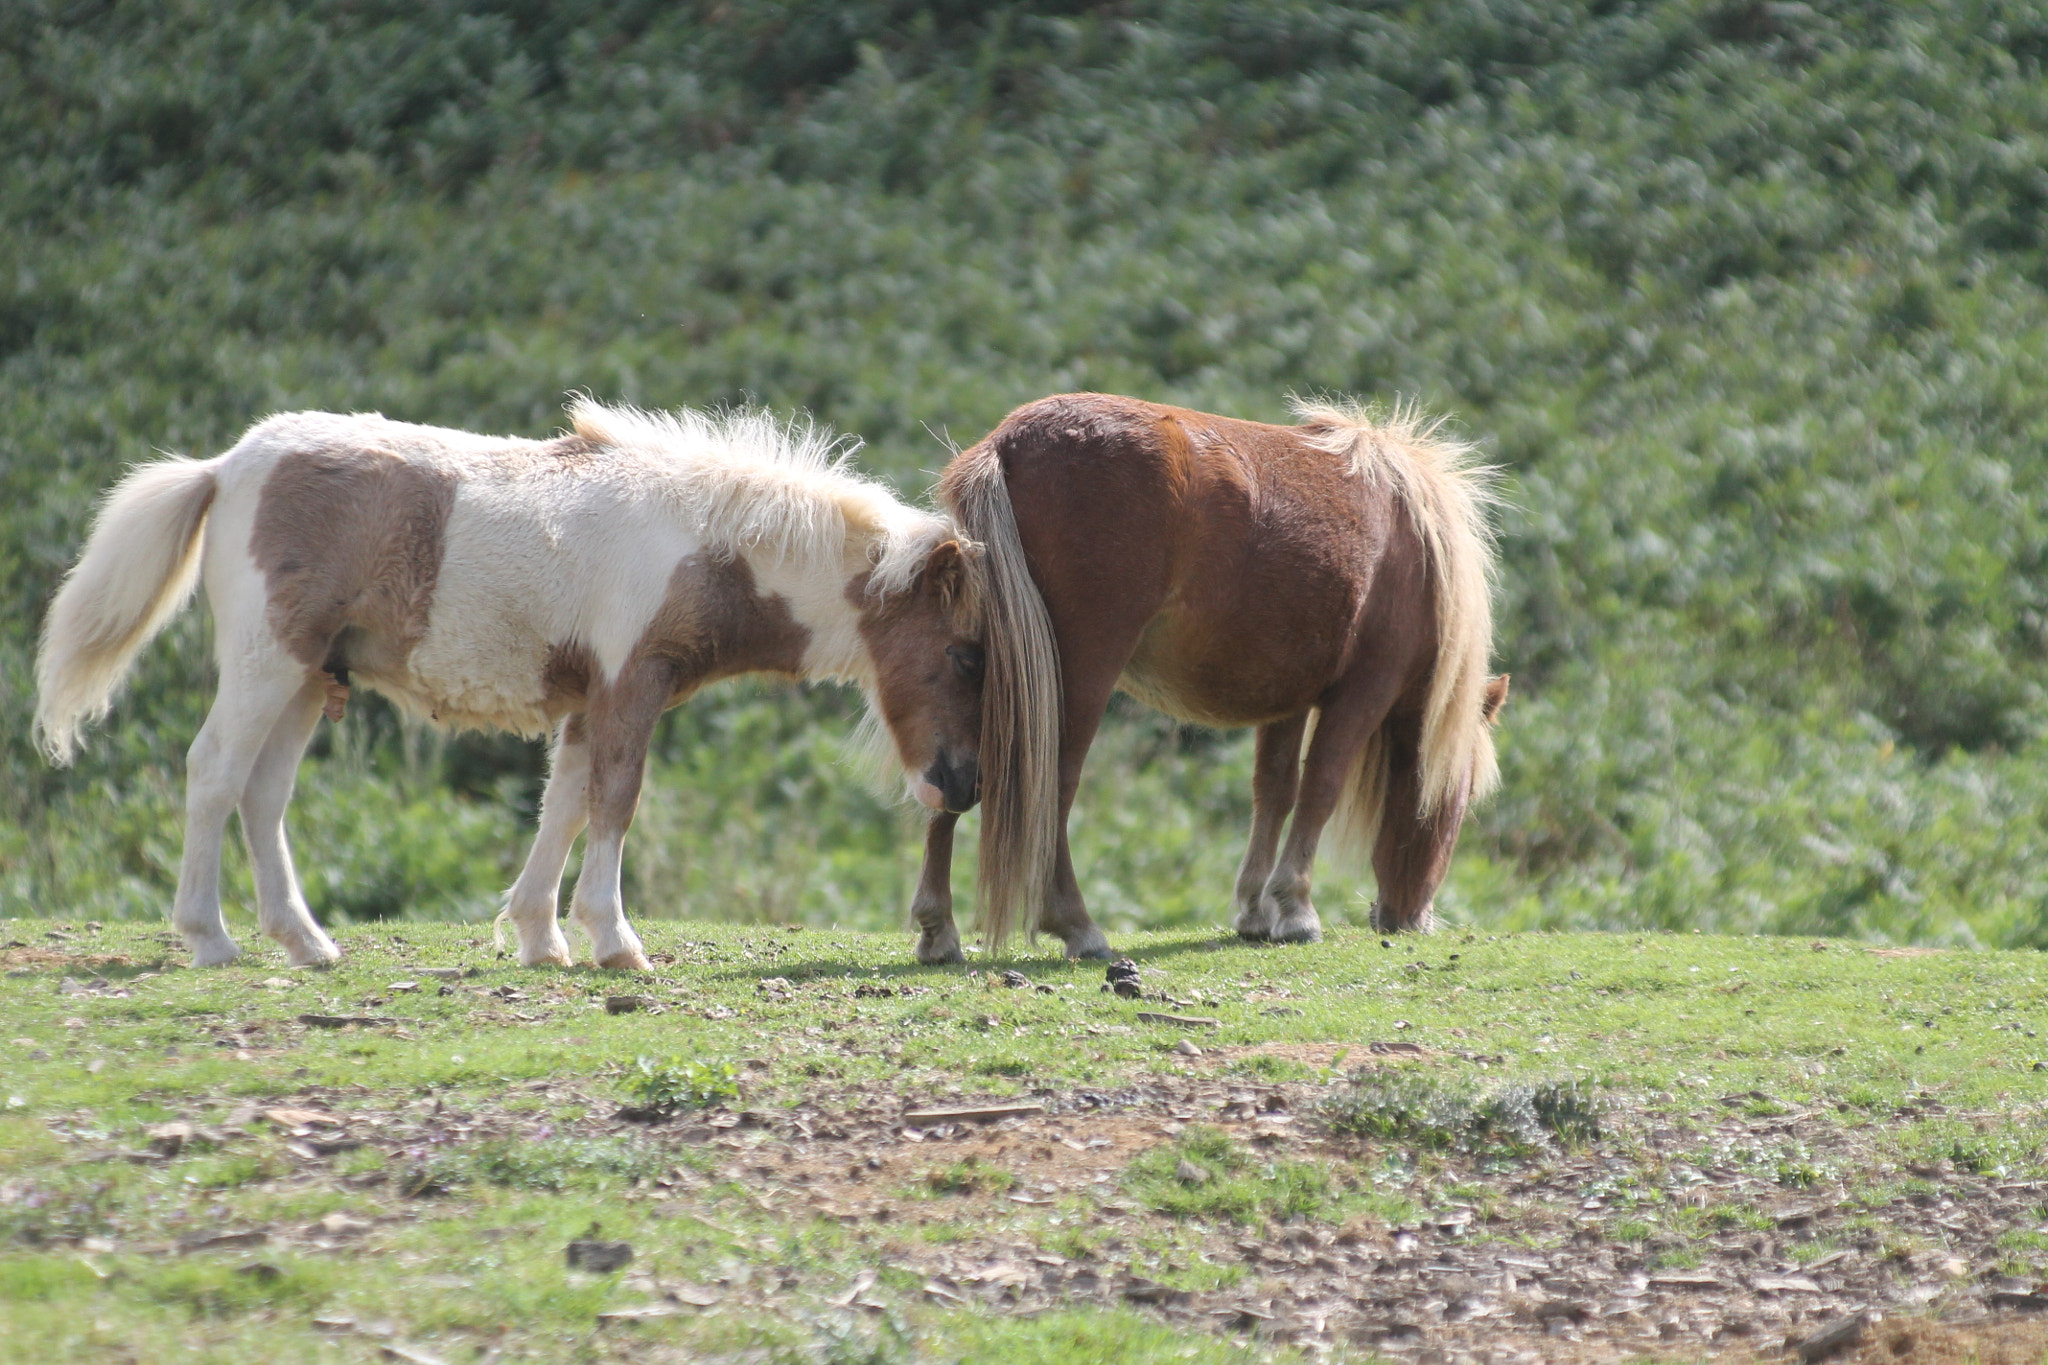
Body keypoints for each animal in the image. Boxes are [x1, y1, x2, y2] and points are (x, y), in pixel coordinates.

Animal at [34, 401, 991, 978]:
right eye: (965, 655)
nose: (963, 784)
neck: (700, 545)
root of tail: (225, 465)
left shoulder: (590, 698)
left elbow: (561, 806)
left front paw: (541, 935)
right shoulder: (629, 684)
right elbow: (613, 802)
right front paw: (615, 940)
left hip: (309, 676)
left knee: (263, 794)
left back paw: (306, 942)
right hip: (266, 659)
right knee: (214, 772)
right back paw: (210, 936)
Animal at [913, 388, 1507, 961]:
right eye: (1466, 799)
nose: (1410, 918)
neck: (1416, 546)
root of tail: (1008, 443)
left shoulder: (1289, 698)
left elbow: (1275, 791)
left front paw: (1255, 910)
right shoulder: (1364, 689)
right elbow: (1321, 787)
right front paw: (1296, 909)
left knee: (960, 777)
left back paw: (938, 929)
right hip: (1079, 676)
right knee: (1054, 784)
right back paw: (1077, 926)